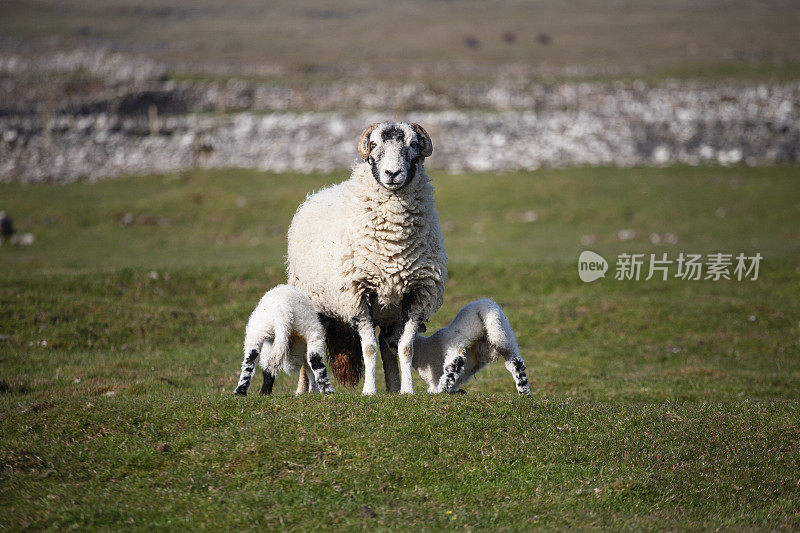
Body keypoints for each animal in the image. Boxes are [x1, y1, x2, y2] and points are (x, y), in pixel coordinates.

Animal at [290, 121, 450, 394]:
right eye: (374, 144)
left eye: (414, 144)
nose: (392, 173)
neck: (393, 244)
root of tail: (319, 193)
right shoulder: (357, 294)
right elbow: (369, 348)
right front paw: (369, 391)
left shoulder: (417, 294)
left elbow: (405, 348)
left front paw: (407, 391)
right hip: (312, 303)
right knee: (309, 347)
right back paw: (303, 391)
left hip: (389, 315)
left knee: (388, 348)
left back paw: (393, 389)